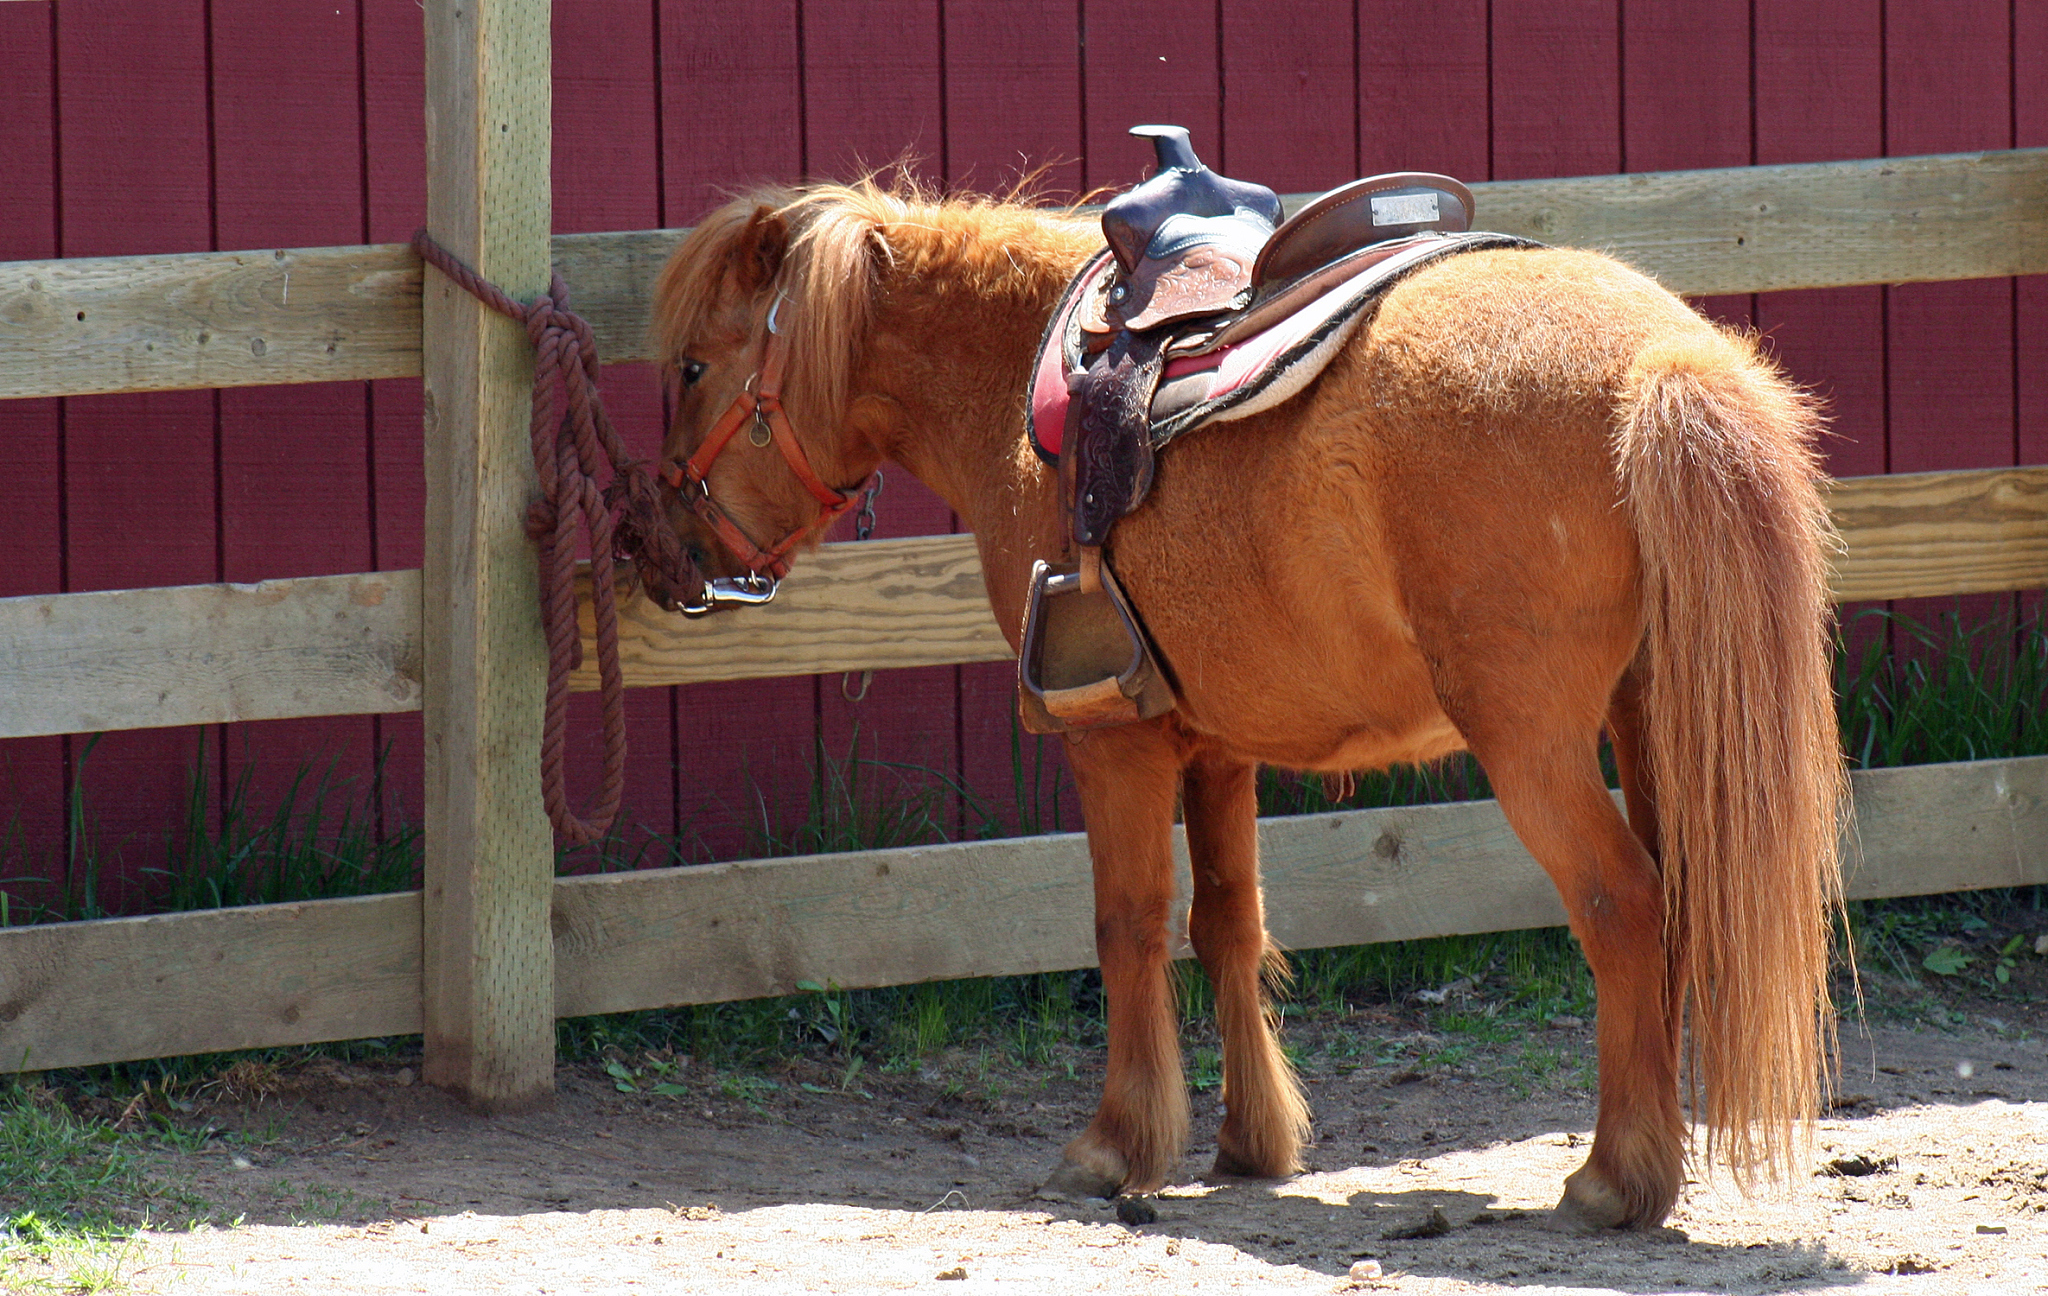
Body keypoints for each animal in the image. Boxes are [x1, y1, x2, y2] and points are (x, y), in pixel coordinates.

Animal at [647, 179, 1844, 1231]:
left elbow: (1127, 924)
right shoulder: (1216, 743)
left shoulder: (1112, 738)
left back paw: (1612, 1178)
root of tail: (1658, 358)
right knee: (1679, 903)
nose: (662, 549)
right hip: (1652, 722)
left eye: (696, 366)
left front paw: (1115, 1145)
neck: (1020, 377)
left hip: (1533, 748)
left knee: (1623, 906)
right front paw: (1249, 1140)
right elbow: (1228, 922)